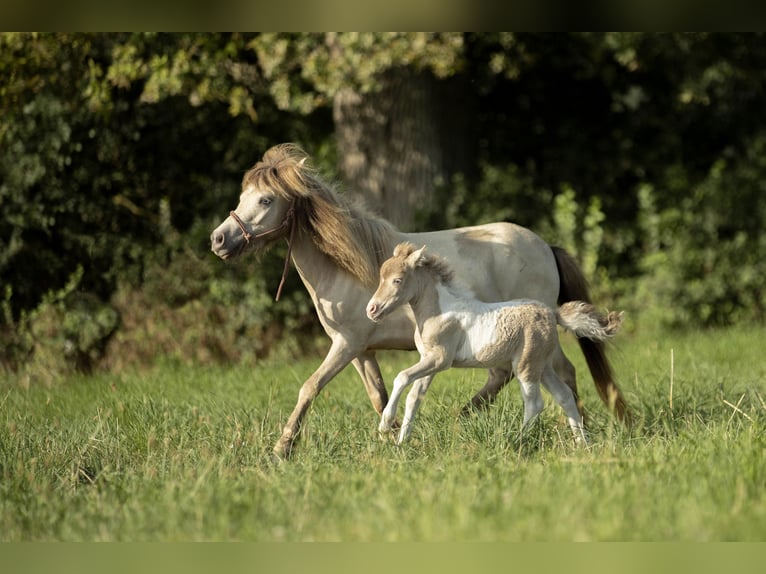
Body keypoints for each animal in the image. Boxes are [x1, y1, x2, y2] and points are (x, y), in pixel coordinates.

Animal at [366, 243, 624, 446]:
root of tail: (552, 313)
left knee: (535, 403)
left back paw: (518, 441)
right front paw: (401, 443)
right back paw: (583, 444)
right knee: (564, 396)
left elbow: (401, 377)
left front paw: (385, 426)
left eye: (397, 280)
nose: (371, 310)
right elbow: (414, 398)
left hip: (525, 365)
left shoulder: (440, 359)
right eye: (381, 278)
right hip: (543, 366)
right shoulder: (429, 362)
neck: (438, 311)